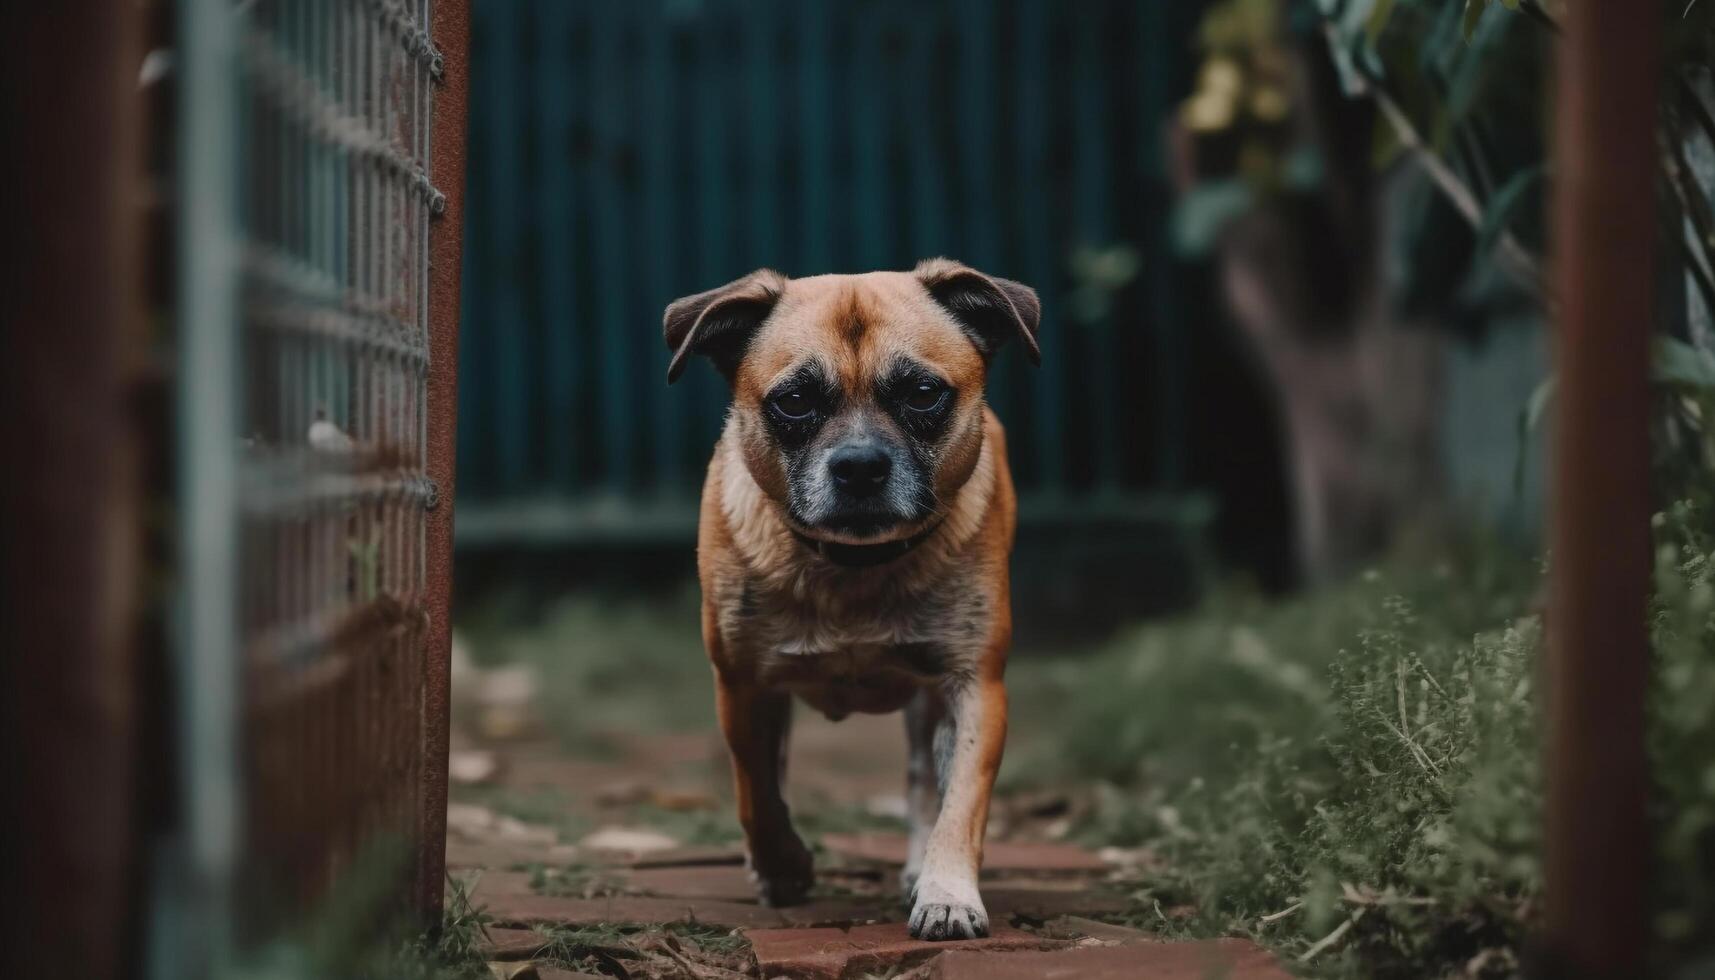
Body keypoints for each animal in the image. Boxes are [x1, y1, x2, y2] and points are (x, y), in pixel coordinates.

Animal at [661, 259, 1035, 940]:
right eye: (794, 401)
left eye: (922, 394)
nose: (860, 464)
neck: (855, 565)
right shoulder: (743, 686)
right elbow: (756, 790)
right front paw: (782, 867)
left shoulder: (974, 686)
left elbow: (961, 801)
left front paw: (947, 891)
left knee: (922, 781)